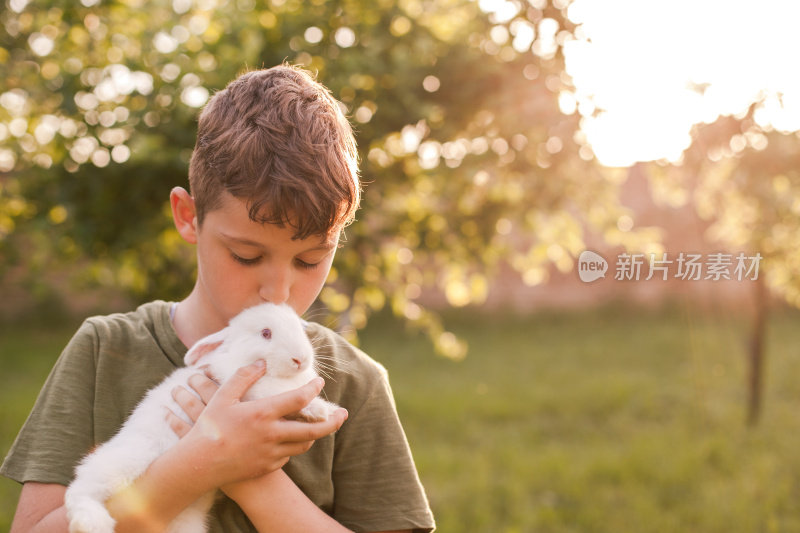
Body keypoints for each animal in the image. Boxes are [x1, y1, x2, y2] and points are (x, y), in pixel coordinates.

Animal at [64, 304, 336, 532]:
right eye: (266, 333)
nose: (301, 359)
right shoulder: (253, 388)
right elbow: (279, 391)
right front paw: (323, 409)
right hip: (125, 462)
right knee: (80, 486)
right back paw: (93, 523)